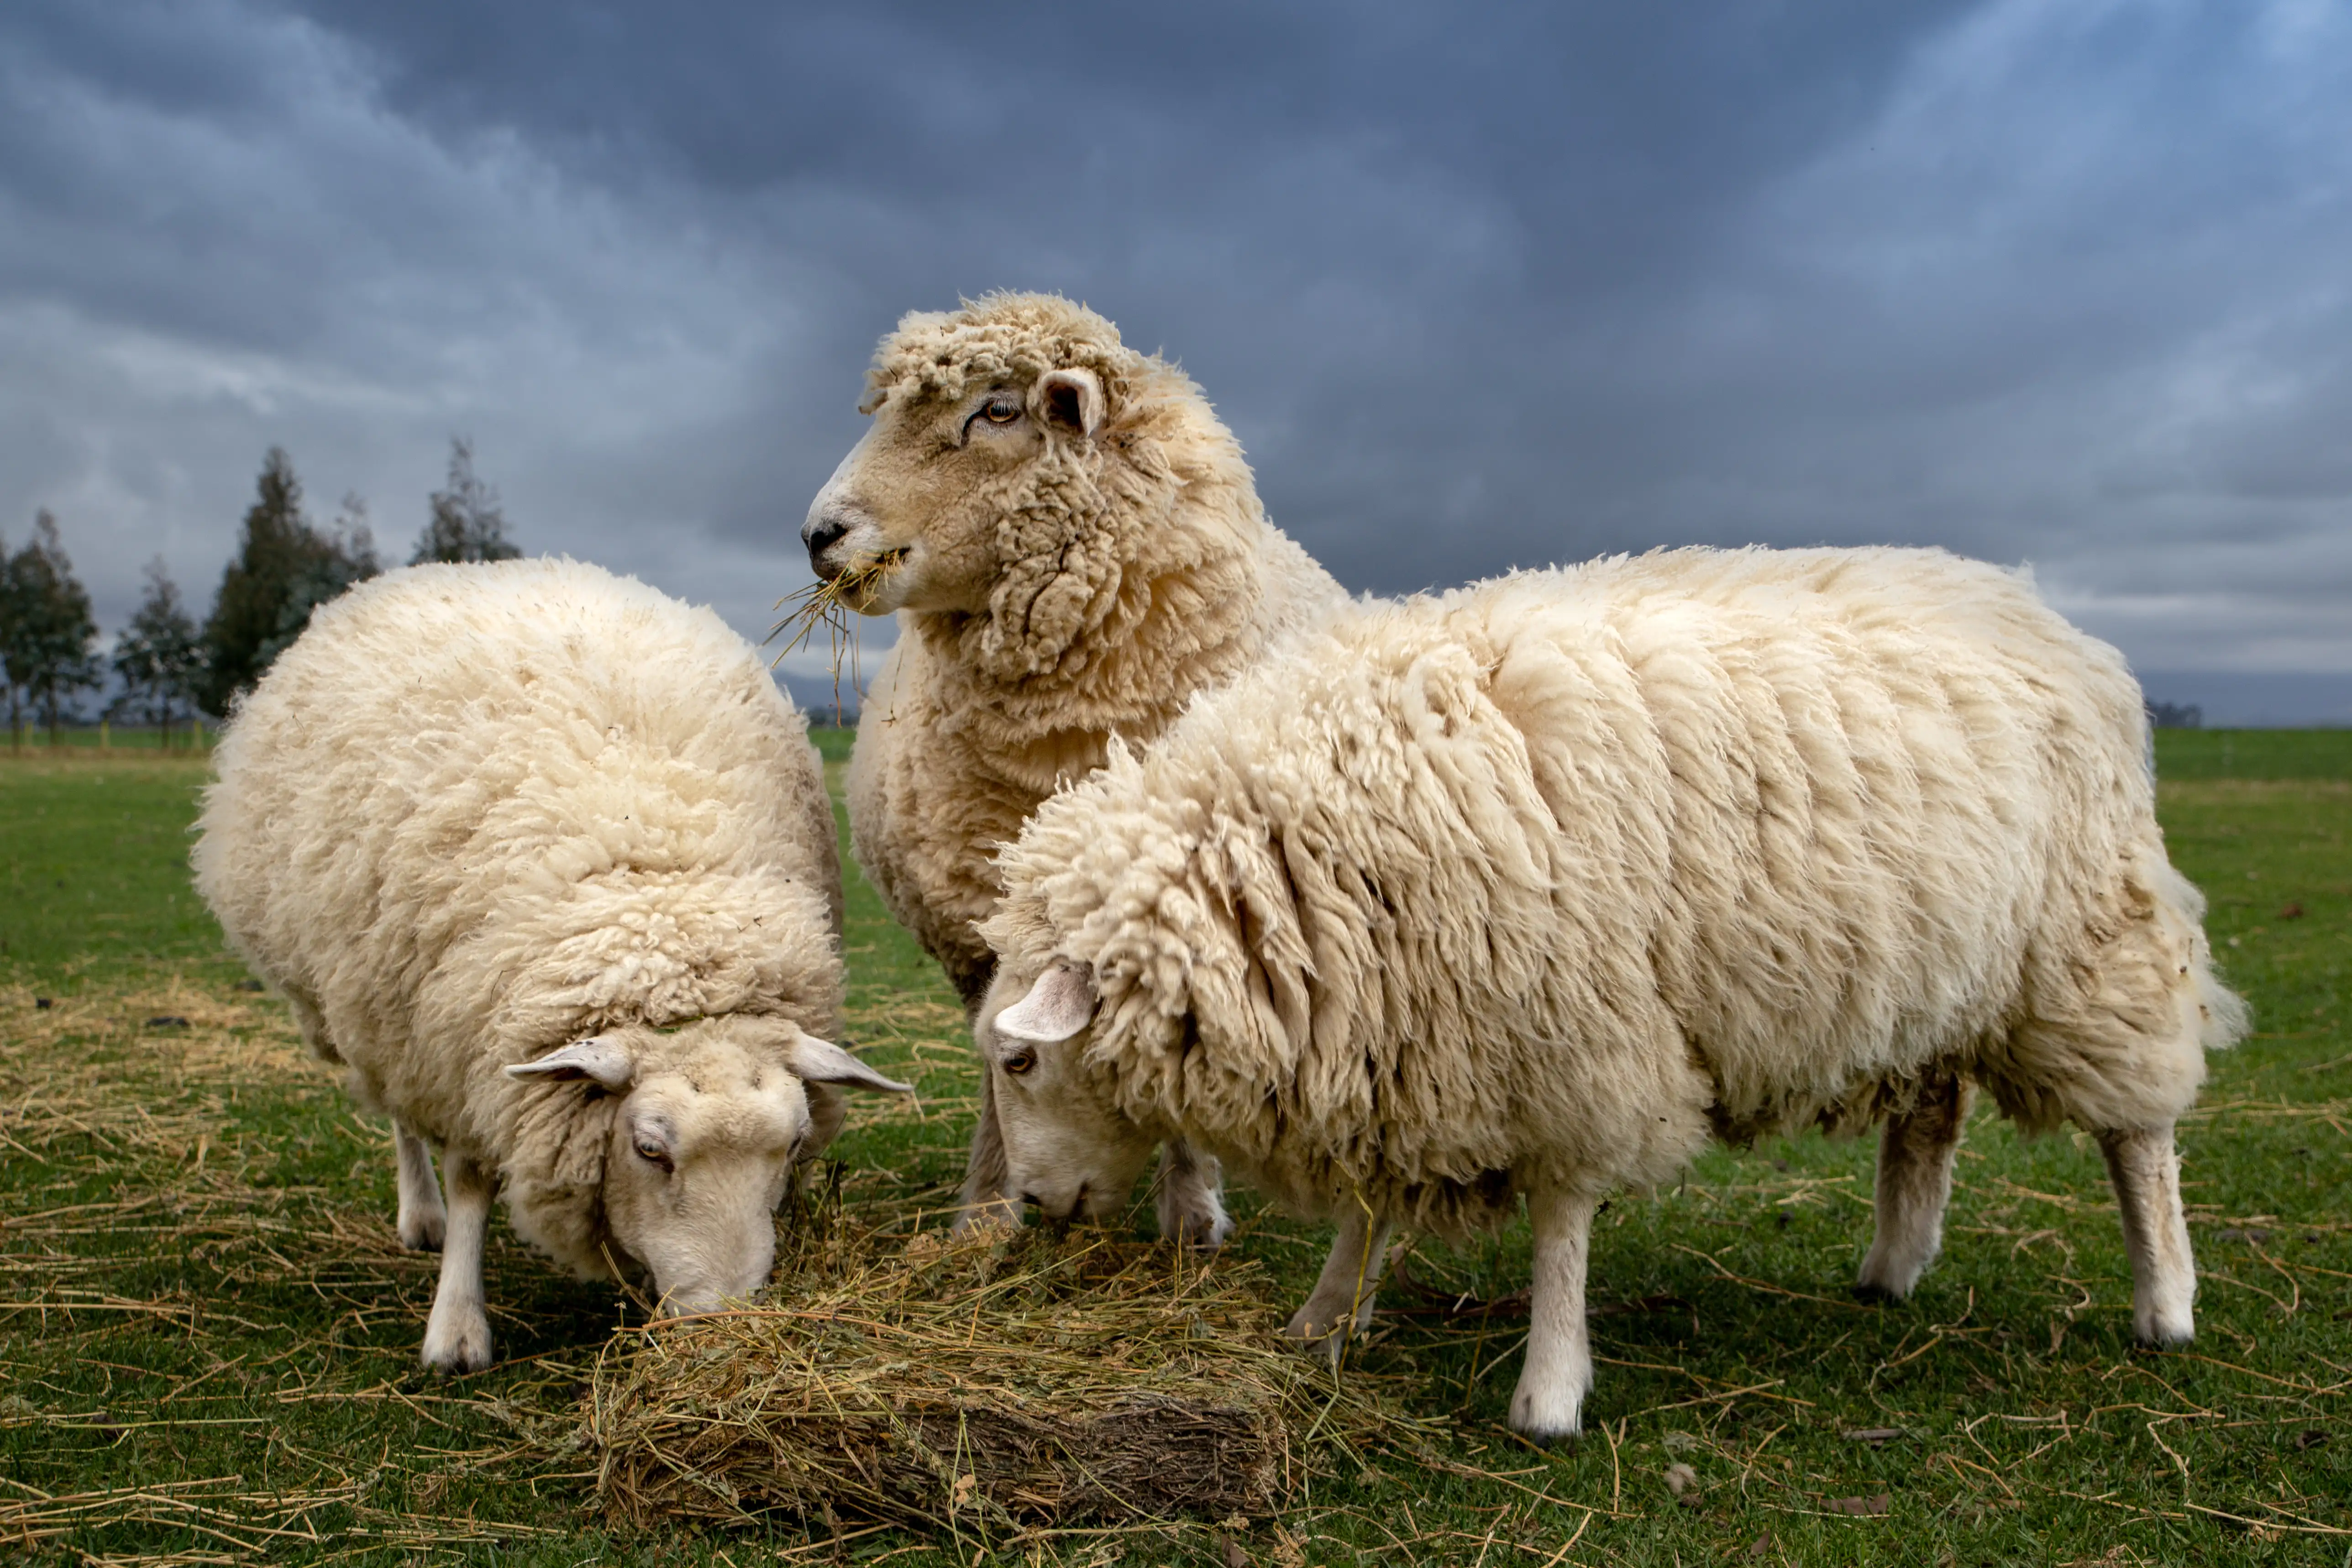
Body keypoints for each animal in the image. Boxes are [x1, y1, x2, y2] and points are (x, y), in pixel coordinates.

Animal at [192, 558, 910, 1374]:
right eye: (649, 1149)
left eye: (790, 1147)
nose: (723, 1323)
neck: (660, 901)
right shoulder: (464, 1043)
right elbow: (471, 1181)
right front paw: (457, 1325)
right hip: (380, 1008)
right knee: (401, 1118)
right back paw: (422, 1214)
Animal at [800, 292, 1348, 1242]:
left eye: (995, 411)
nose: (818, 536)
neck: (1061, 748)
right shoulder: (981, 918)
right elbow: (996, 1049)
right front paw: (985, 1213)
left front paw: (1190, 1215)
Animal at [974, 546, 2247, 1442]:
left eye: (1022, 1057)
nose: (1032, 1206)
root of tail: (2050, 618)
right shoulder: (1412, 1033)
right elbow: (1370, 1211)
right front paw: (1321, 1323)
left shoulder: (1570, 1027)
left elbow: (1562, 1217)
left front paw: (1548, 1391)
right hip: (1938, 965)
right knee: (1930, 1110)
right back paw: (1892, 1267)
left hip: (2089, 942)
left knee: (2139, 1132)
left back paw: (2165, 1303)